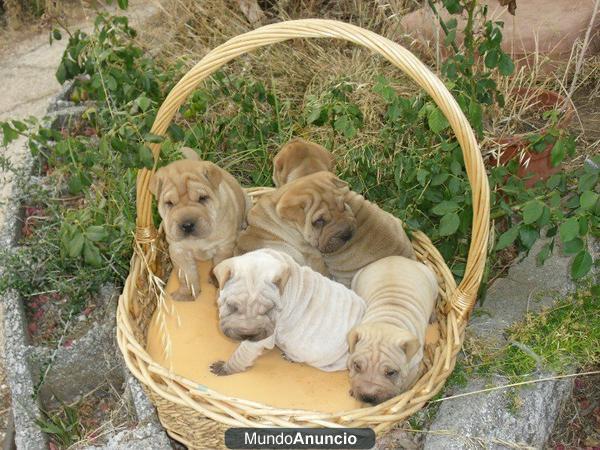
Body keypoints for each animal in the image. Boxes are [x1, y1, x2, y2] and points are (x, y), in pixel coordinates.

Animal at [152, 149, 253, 302]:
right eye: (169, 203)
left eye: (202, 198)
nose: (187, 224)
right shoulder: (178, 250)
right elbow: (187, 275)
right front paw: (186, 294)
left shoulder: (224, 247)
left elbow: (220, 265)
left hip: (247, 204)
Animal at [206, 248, 366, 374]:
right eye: (232, 306)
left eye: (269, 310)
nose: (248, 334)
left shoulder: (258, 341)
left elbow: (241, 356)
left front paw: (225, 368)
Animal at [344, 255, 438, 406]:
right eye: (357, 366)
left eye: (391, 373)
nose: (367, 397)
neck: (388, 320)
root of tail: (393, 257)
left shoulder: (414, 364)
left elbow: (406, 381)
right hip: (357, 277)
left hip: (431, 278)